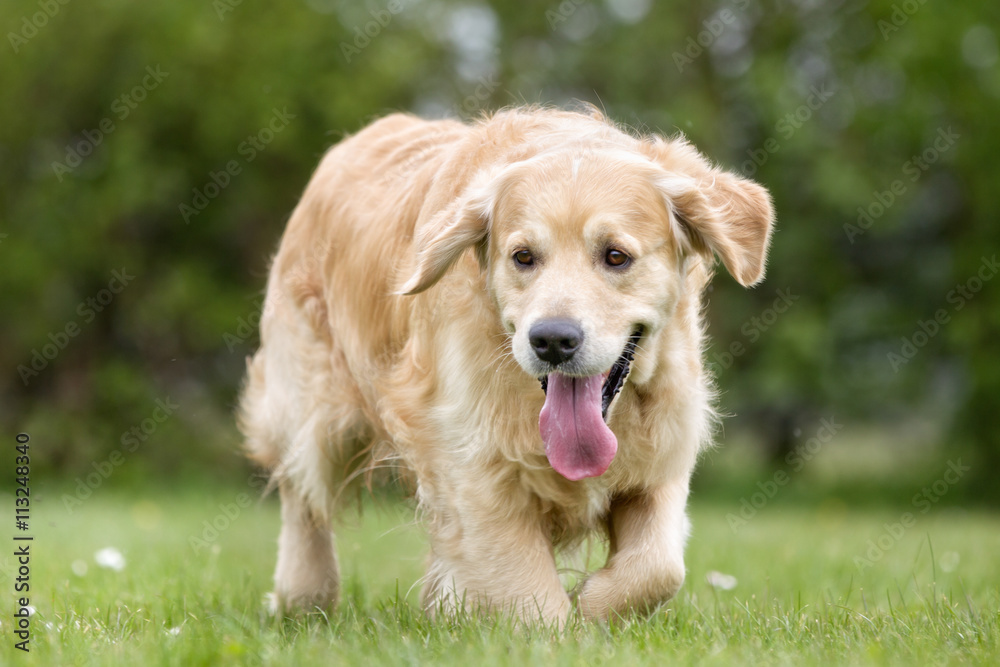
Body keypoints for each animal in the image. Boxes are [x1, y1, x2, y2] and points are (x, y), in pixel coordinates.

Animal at [240, 105, 772, 628]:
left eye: (616, 256)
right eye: (523, 257)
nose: (552, 340)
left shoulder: (664, 451)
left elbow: (659, 568)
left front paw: (592, 605)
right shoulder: (468, 462)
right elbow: (532, 599)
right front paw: (562, 628)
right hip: (310, 404)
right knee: (302, 493)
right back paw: (304, 596)